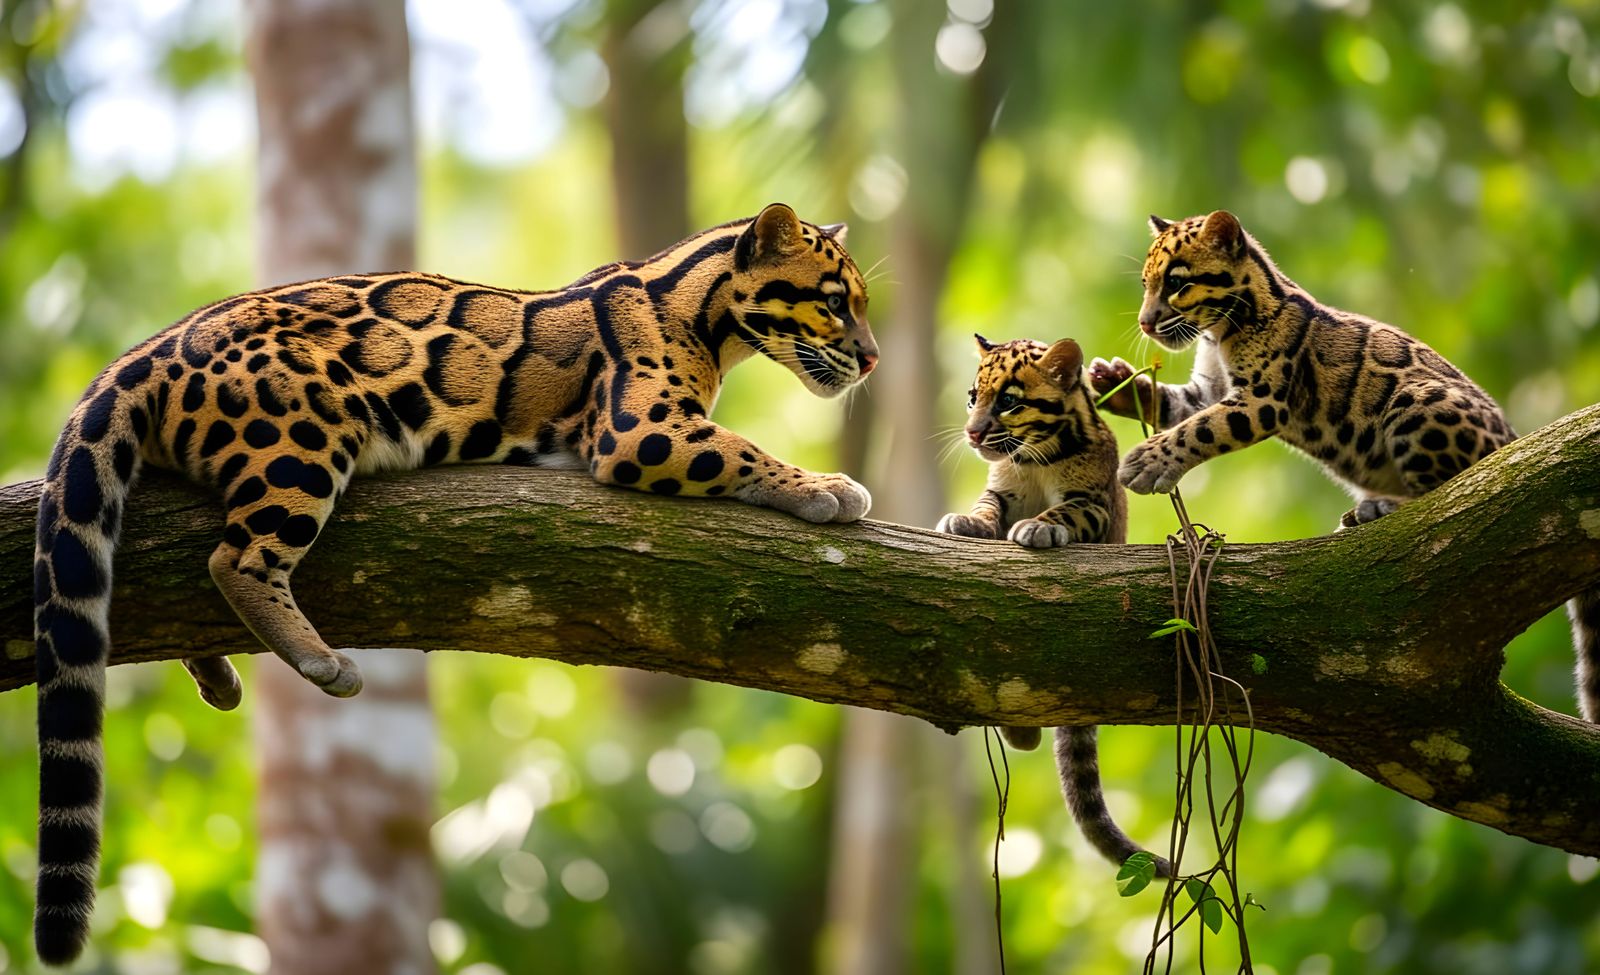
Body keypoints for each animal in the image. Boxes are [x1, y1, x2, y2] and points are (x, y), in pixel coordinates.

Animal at [29, 203, 878, 964]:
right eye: (836, 301)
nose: (871, 358)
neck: (702, 312)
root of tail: (146, 350)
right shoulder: (640, 429)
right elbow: (744, 448)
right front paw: (826, 486)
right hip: (303, 438)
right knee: (232, 560)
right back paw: (317, 658)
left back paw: (218, 673)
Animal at [937, 336, 1169, 877]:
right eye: (972, 396)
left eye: (1008, 401)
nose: (972, 432)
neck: (1034, 462)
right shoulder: (1000, 488)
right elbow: (986, 507)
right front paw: (968, 522)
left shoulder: (1093, 501)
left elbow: (1064, 510)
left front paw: (1040, 527)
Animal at [1090, 208, 1597, 729]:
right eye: (1146, 285)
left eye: (1176, 283)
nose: (1145, 323)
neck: (1222, 329)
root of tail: (1515, 441)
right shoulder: (1208, 389)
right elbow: (1179, 408)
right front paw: (1117, 384)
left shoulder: (1261, 401)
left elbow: (1201, 429)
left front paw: (1146, 462)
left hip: (1418, 401)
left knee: (1447, 498)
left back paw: (1380, 508)